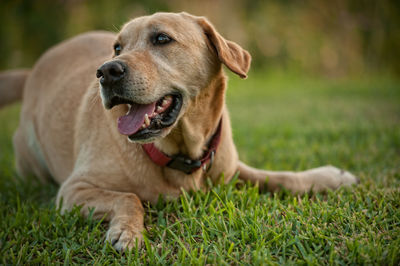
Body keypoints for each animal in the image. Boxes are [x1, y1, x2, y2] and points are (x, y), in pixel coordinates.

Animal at [0, 11, 356, 251]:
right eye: (117, 48)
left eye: (161, 39)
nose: (106, 72)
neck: (181, 153)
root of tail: (34, 70)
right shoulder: (73, 190)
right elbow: (129, 197)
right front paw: (127, 232)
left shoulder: (228, 168)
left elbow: (279, 177)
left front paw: (329, 177)